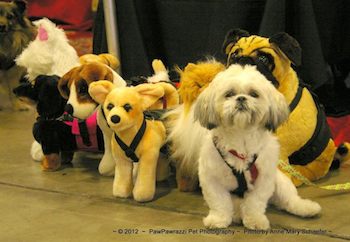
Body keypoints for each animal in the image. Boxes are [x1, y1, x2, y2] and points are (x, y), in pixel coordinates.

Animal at [194, 63, 320, 229]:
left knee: (289, 200)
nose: (241, 98)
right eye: (229, 94)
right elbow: (219, 202)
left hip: (280, 182)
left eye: (254, 94)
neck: (241, 137)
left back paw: (306, 208)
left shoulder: (264, 178)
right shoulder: (211, 178)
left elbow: (255, 202)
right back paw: (237, 214)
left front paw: (255, 220)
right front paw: (218, 219)